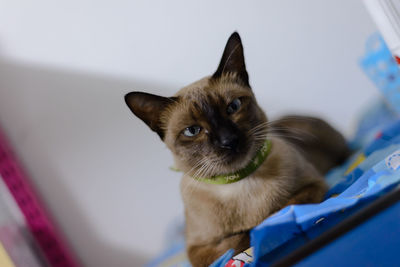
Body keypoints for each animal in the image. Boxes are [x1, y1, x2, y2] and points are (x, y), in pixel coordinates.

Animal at [125, 32, 350, 266]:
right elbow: (239, 238)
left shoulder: (313, 186)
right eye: (192, 130)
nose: (229, 140)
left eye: (233, 107)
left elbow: (280, 212)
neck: (239, 182)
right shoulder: (197, 250)